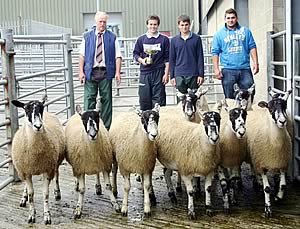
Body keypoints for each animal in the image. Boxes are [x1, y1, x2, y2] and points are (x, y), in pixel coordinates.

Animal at [11, 95, 65, 225]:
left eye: (41, 108)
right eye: (26, 109)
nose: (38, 126)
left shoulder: (47, 169)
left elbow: (45, 194)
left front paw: (47, 216)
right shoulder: (25, 171)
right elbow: (31, 194)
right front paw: (31, 215)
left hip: (55, 162)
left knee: (57, 175)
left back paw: (57, 192)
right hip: (24, 170)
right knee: (27, 187)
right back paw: (23, 198)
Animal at [245, 88, 292, 217]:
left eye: (285, 106)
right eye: (270, 109)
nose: (282, 121)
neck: (275, 144)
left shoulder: (283, 163)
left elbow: (283, 185)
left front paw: (278, 197)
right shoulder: (262, 164)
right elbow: (267, 188)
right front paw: (268, 209)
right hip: (253, 156)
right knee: (253, 167)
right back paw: (257, 181)